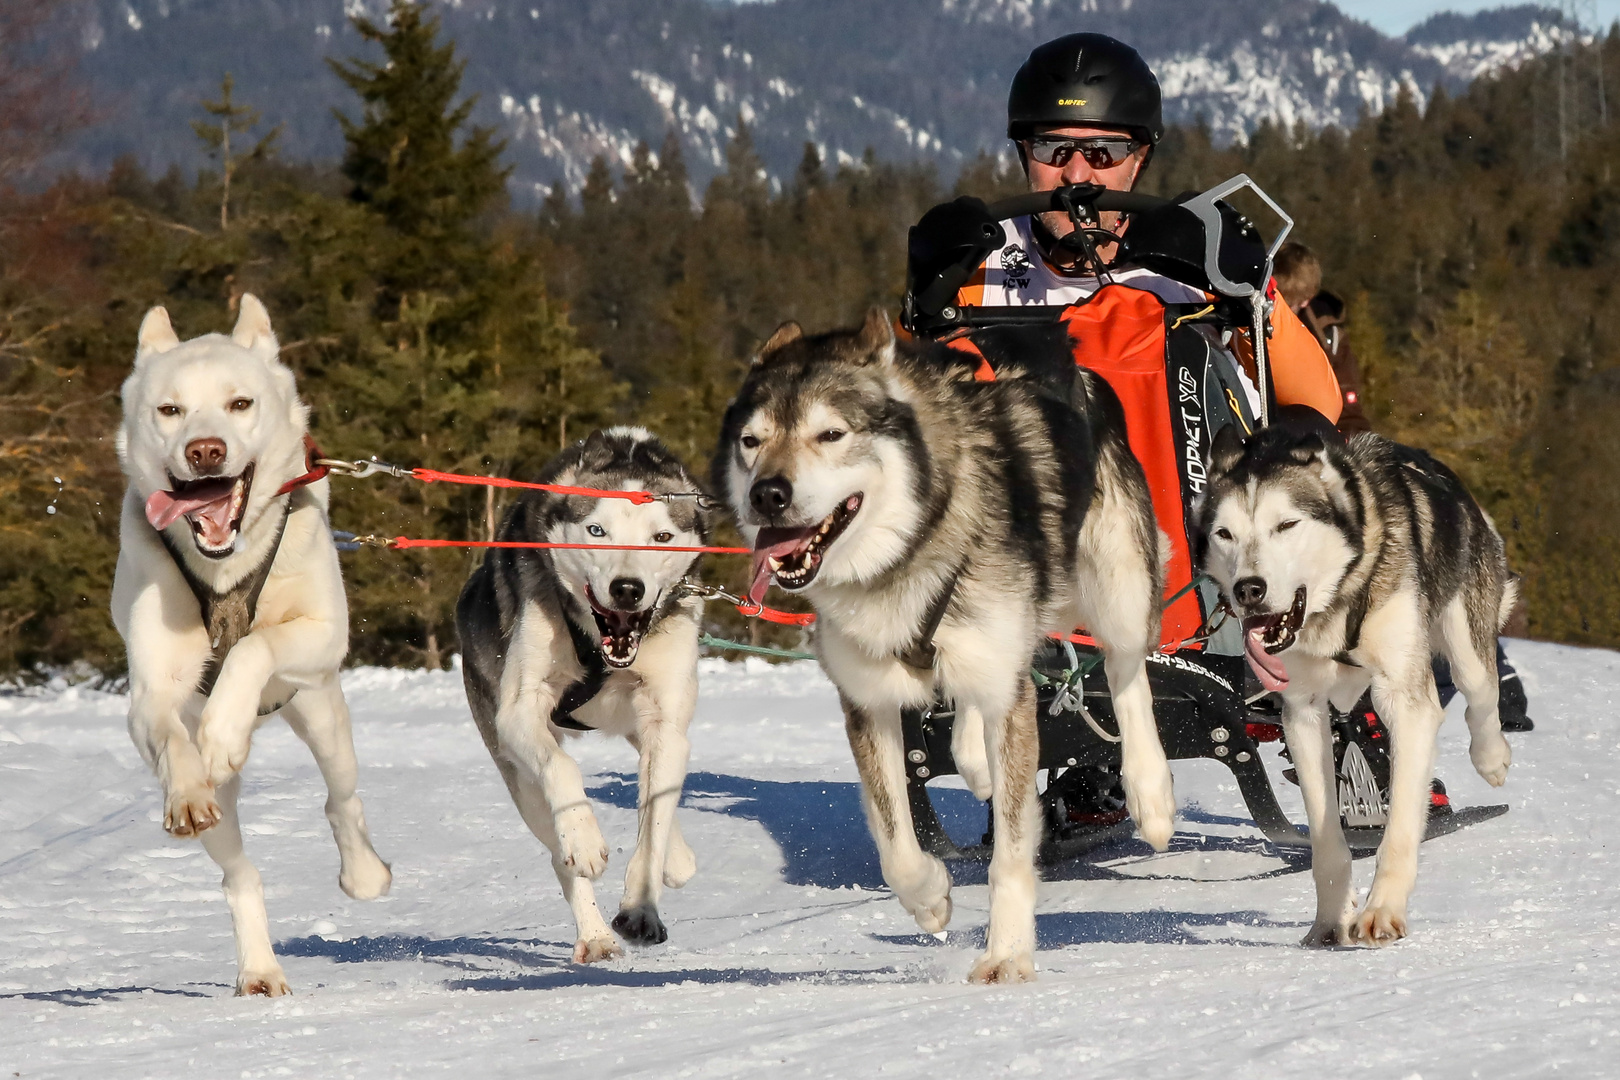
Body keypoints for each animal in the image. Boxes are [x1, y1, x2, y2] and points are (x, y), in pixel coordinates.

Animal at [112, 293, 390, 997]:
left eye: (240, 403)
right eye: (170, 410)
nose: (205, 451)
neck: (224, 568)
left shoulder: (322, 634)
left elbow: (251, 649)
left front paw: (222, 730)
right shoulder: (151, 692)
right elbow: (170, 733)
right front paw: (188, 781)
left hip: (323, 714)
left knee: (342, 800)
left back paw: (364, 873)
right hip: (231, 811)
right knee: (240, 874)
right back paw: (260, 967)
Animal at [456, 427, 709, 965]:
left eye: (661, 537)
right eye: (597, 530)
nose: (628, 588)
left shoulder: (665, 725)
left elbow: (654, 824)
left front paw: (642, 908)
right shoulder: (519, 713)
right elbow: (563, 769)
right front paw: (586, 838)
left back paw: (675, 859)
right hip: (520, 778)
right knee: (558, 853)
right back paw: (594, 934)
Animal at [716, 307, 1172, 984]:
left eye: (831, 434)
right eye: (752, 441)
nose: (767, 493)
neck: (907, 553)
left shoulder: (1010, 687)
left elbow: (1011, 850)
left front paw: (1007, 953)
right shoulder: (867, 699)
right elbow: (893, 838)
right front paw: (929, 896)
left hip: (1116, 586)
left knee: (1127, 673)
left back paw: (1152, 794)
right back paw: (976, 759)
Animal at [1192, 420, 1516, 945]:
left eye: (1287, 525)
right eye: (1225, 533)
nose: (1248, 590)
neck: (1334, 606)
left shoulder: (1405, 703)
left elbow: (1400, 826)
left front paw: (1381, 909)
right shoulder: (1303, 715)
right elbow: (1326, 839)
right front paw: (1330, 921)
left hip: (1466, 642)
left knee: (1481, 696)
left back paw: (1492, 759)